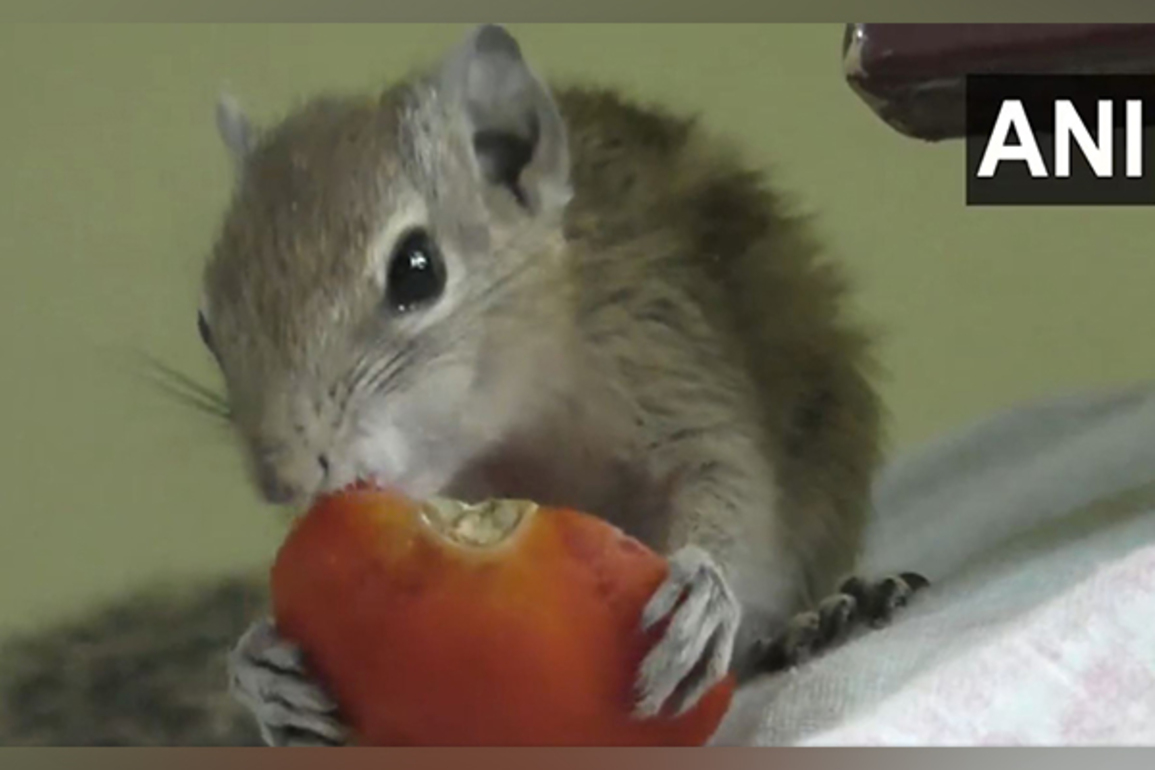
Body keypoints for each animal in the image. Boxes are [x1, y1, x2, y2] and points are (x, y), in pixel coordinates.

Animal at [0, 25, 925, 746]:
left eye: (417, 270)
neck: (523, 409)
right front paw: (258, 666)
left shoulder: (673, 358)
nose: (286, 478)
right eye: (204, 323)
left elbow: (730, 486)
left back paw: (821, 616)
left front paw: (703, 590)